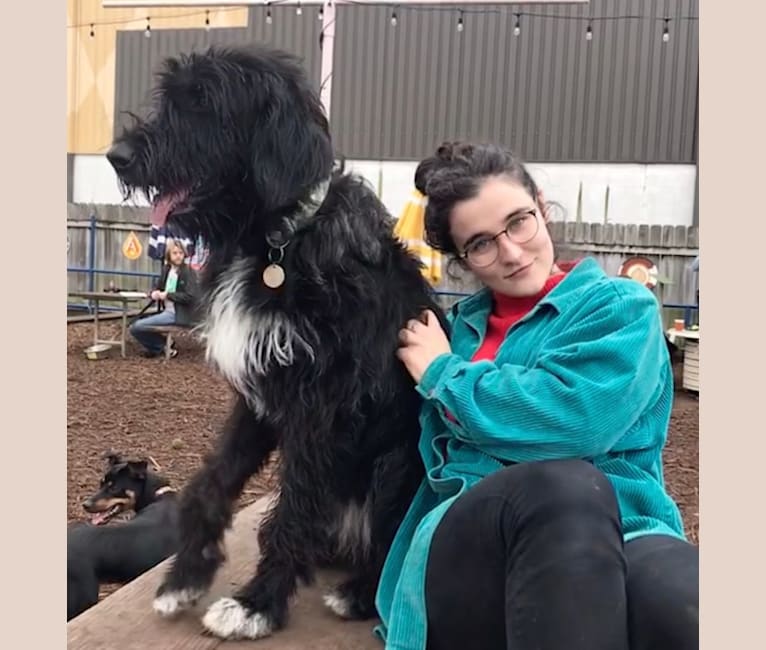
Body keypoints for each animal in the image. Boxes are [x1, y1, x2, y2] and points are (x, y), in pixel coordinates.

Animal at [105, 44, 448, 636]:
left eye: (204, 103)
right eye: (170, 98)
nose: (116, 155)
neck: (278, 241)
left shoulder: (324, 407)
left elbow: (294, 508)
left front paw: (256, 605)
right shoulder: (259, 395)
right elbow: (214, 481)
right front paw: (185, 577)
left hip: (396, 463)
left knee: (391, 549)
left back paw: (358, 593)